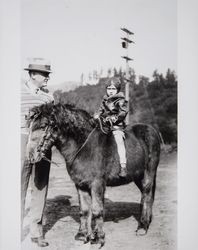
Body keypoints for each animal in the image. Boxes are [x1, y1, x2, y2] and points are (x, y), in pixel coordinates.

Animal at [22, 102, 160, 247]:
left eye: (44, 126)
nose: (30, 156)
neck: (84, 146)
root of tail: (151, 130)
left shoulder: (97, 184)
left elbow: (97, 210)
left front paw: (99, 238)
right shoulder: (80, 185)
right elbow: (84, 211)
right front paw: (82, 235)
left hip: (149, 173)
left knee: (146, 195)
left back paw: (142, 227)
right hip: (138, 176)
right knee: (146, 196)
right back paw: (146, 222)